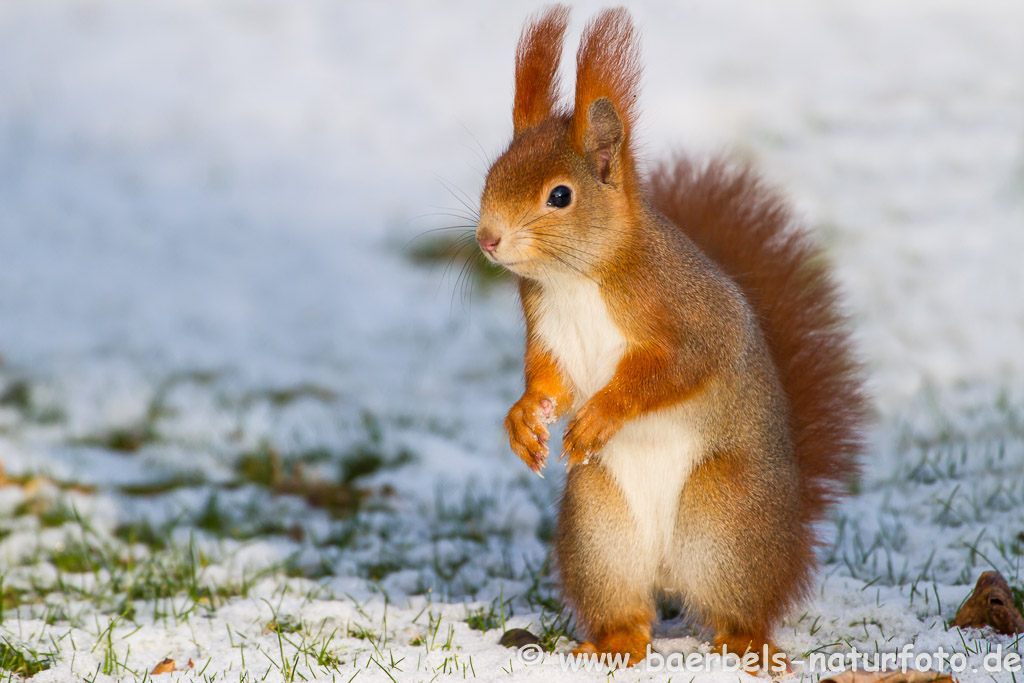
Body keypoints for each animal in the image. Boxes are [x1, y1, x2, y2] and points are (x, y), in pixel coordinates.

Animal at [471, 6, 864, 667]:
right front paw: (524, 421)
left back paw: (747, 645)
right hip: (599, 530)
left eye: (560, 195)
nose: (488, 239)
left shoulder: (688, 319)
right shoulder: (546, 330)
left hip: (724, 516)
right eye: (491, 174)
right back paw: (612, 645)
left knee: (740, 610)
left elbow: (673, 371)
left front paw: (601, 414)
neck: (578, 278)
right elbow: (547, 380)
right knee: (629, 612)